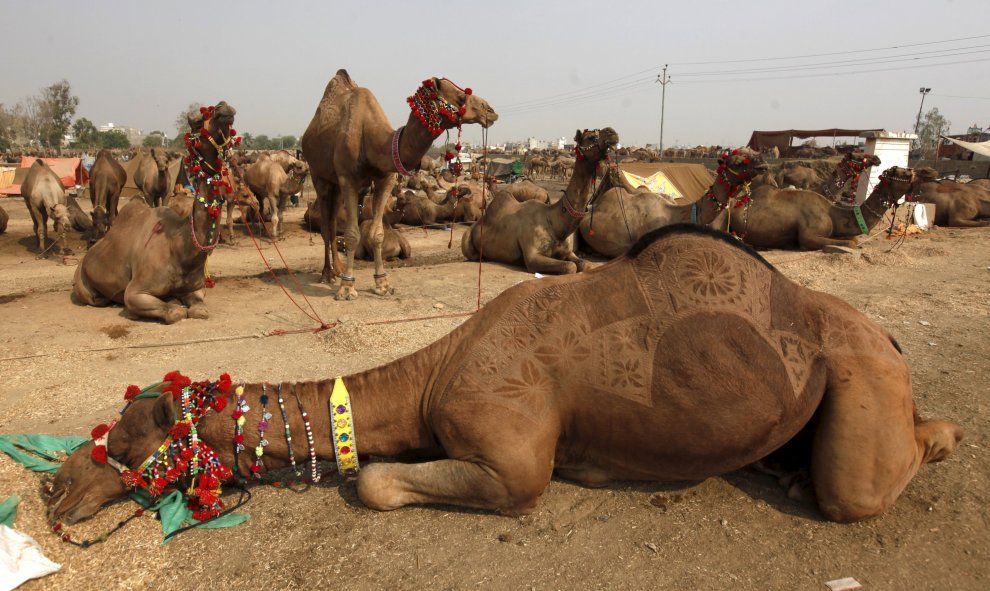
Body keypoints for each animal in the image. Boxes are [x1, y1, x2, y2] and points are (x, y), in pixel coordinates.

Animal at [46, 224, 960, 528]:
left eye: (126, 439)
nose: (55, 487)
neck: (429, 377)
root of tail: (880, 333)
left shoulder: (516, 463)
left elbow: (372, 479)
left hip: (862, 371)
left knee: (859, 486)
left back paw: (939, 436)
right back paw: (788, 466)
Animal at [72, 102, 241, 324]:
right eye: (197, 123)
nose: (224, 109)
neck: (181, 249)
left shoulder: (196, 289)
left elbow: (199, 310)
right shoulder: (135, 291)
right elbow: (175, 312)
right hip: (81, 281)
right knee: (94, 297)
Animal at [464, 128, 620, 274]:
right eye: (591, 137)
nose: (612, 132)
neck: (554, 223)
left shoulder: (567, 251)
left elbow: (584, 264)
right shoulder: (532, 257)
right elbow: (570, 267)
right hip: (467, 237)